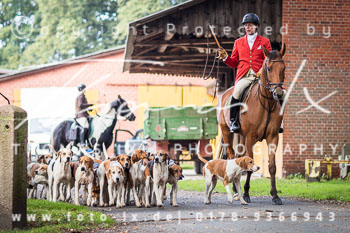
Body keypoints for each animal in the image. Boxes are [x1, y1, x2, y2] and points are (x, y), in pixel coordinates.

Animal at [217, 43, 286, 204]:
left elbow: (272, 166)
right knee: (232, 156)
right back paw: (237, 192)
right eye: (269, 68)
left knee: (238, 156)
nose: (278, 93)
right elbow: (249, 162)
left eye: (284, 68)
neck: (267, 104)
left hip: (241, 136)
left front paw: (275, 195)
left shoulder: (273, 137)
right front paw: (247, 194)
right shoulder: (250, 138)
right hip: (227, 132)